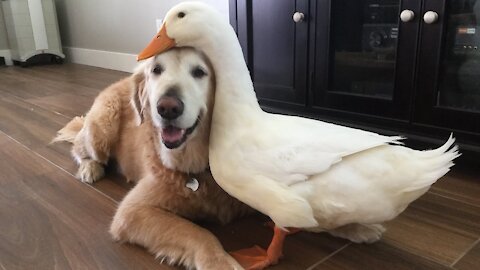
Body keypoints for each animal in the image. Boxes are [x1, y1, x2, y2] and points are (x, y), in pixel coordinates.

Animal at [53, 47, 251, 268]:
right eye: (156, 70)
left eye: (199, 72)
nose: (167, 108)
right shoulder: (132, 211)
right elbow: (199, 233)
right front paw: (220, 262)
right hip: (101, 130)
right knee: (80, 149)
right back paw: (90, 168)